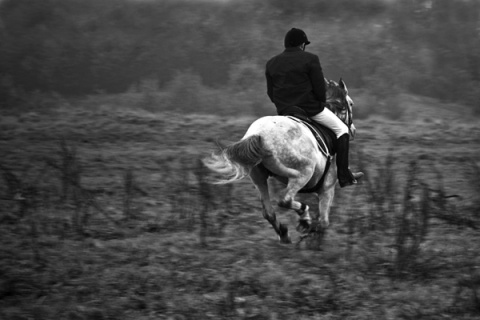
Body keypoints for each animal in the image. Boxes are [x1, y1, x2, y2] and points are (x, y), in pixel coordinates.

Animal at [202, 79, 356, 242]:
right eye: (351, 104)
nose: (352, 130)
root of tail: (259, 135)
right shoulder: (327, 188)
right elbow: (323, 223)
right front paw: (309, 230)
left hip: (259, 178)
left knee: (268, 211)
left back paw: (284, 232)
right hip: (303, 172)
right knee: (285, 199)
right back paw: (304, 217)